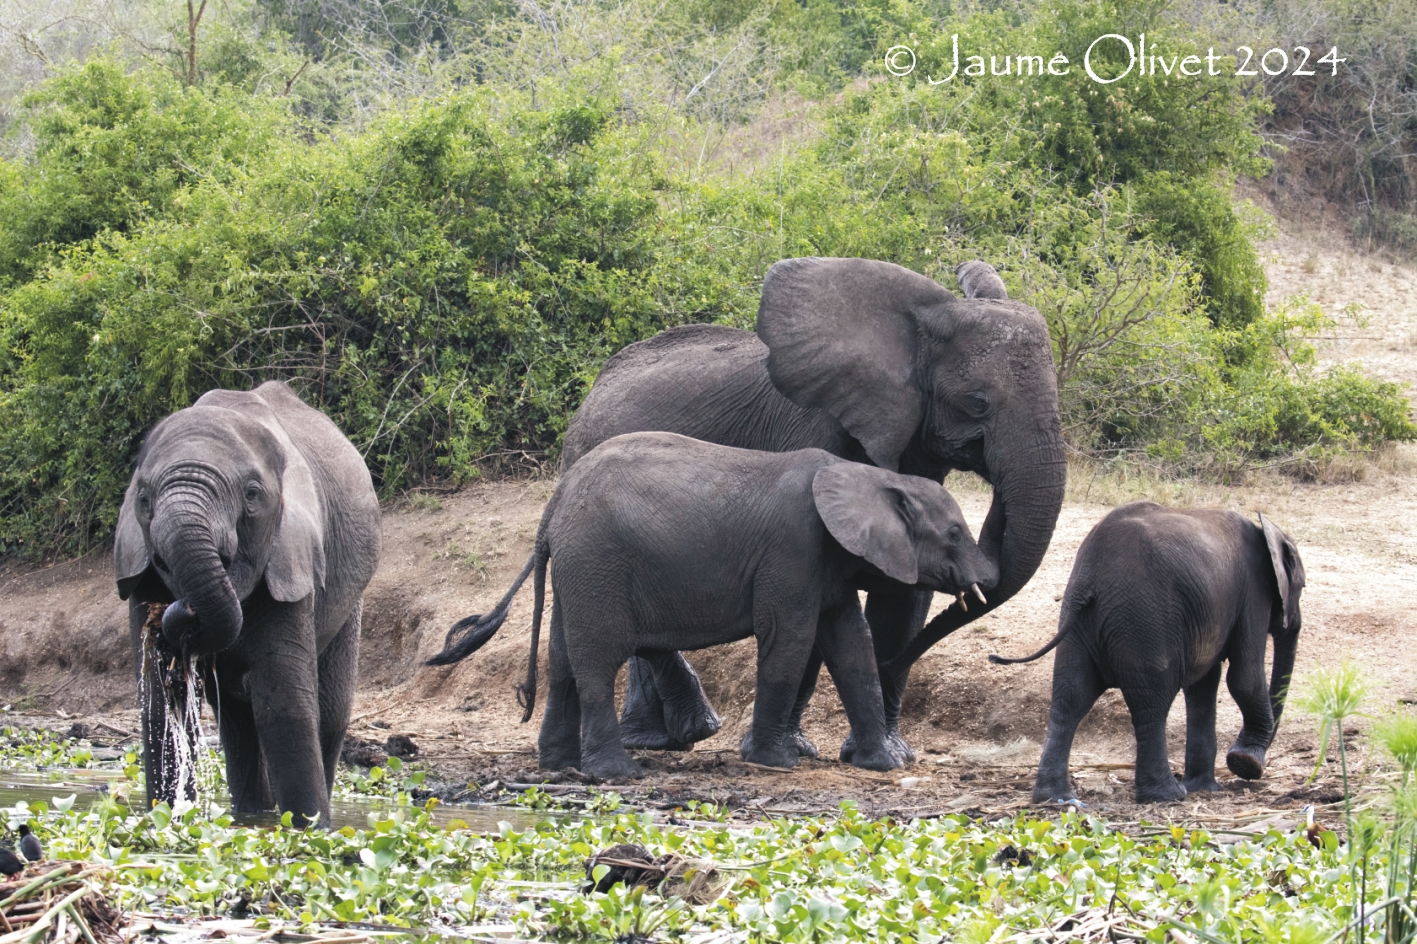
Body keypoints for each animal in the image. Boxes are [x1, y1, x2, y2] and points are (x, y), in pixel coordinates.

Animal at [114, 379, 382, 822]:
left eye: (252, 495)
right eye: (144, 499)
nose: (180, 611)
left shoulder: (291, 561)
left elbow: (284, 705)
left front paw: (310, 828)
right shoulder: (139, 575)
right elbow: (157, 706)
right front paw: (163, 820)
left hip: (350, 601)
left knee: (328, 713)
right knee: (237, 724)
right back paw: (252, 815)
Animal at [422, 430, 997, 776]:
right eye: (953, 534)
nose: (986, 576)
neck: (868, 477)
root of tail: (552, 506)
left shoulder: (825, 565)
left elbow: (851, 647)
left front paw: (887, 766)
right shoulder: (792, 552)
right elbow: (789, 643)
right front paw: (776, 763)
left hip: (578, 571)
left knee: (563, 661)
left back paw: (560, 767)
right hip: (596, 563)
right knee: (596, 661)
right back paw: (617, 774)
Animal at [555, 255, 1065, 759]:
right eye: (977, 402)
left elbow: (903, 596)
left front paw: (889, 753)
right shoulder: (813, 430)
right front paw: (791, 749)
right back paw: (679, 734)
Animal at [986, 498, 1303, 799]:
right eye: (1300, 587)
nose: (1253, 766)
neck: (1267, 532)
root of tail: (1091, 576)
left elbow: (1202, 687)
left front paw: (1208, 786)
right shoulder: (1254, 591)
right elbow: (1243, 676)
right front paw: (1245, 764)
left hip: (1079, 622)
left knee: (1071, 697)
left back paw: (1056, 797)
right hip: (1147, 620)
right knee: (1153, 700)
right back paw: (1166, 795)